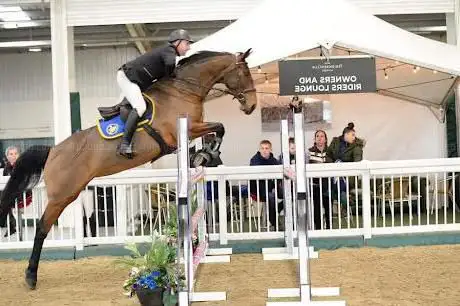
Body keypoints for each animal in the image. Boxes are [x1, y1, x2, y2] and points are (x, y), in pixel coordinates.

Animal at [0, 47, 258, 290]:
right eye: (245, 73)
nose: (252, 106)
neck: (184, 89)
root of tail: (52, 151)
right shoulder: (187, 129)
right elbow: (220, 127)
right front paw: (209, 153)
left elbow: (218, 129)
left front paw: (205, 154)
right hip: (62, 195)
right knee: (42, 229)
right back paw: (31, 275)